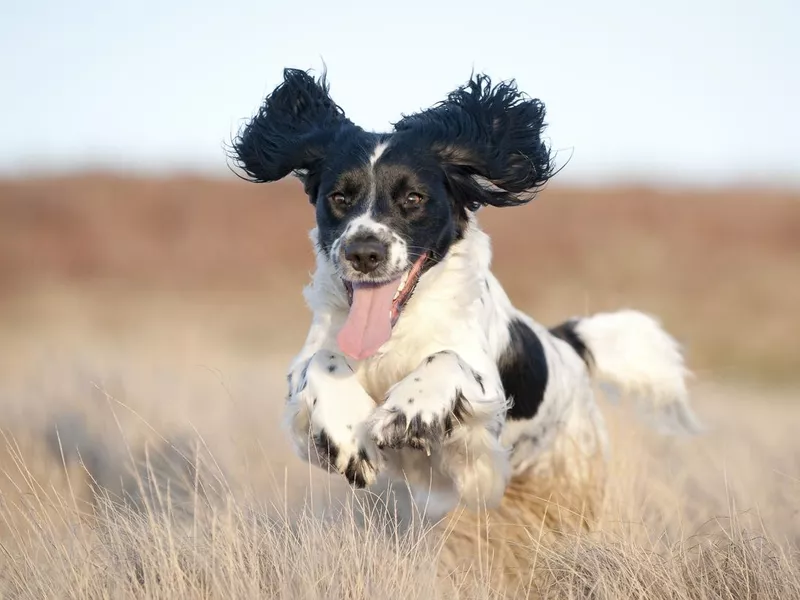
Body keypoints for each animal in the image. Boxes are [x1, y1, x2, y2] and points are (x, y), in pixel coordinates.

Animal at [228, 68, 696, 524]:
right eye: (339, 197)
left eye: (413, 197)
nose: (364, 252)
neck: (395, 332)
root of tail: (566, 344)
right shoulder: (307, 377)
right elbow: (319, 363)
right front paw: (348, 437)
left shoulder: (482, 426)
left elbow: (448, 359)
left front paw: (406, 412)